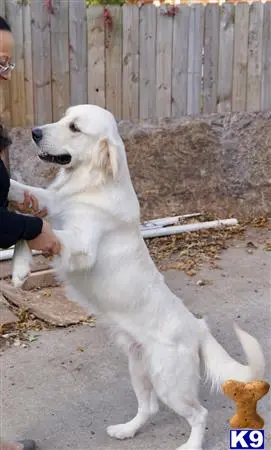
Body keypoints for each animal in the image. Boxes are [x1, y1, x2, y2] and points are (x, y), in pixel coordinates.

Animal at [8, 103, 266, 448]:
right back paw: (126, 430)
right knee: (149, 407)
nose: (34, 132)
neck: (94, 183)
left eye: (75, 127)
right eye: (63, 117)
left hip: (169, 381)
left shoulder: (81, 246)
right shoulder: (55, 203)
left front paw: (21, 269)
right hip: (139, 368)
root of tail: (197, 328)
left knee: (200, 414)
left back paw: (191, 444)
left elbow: (34, 232)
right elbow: (25, 204)